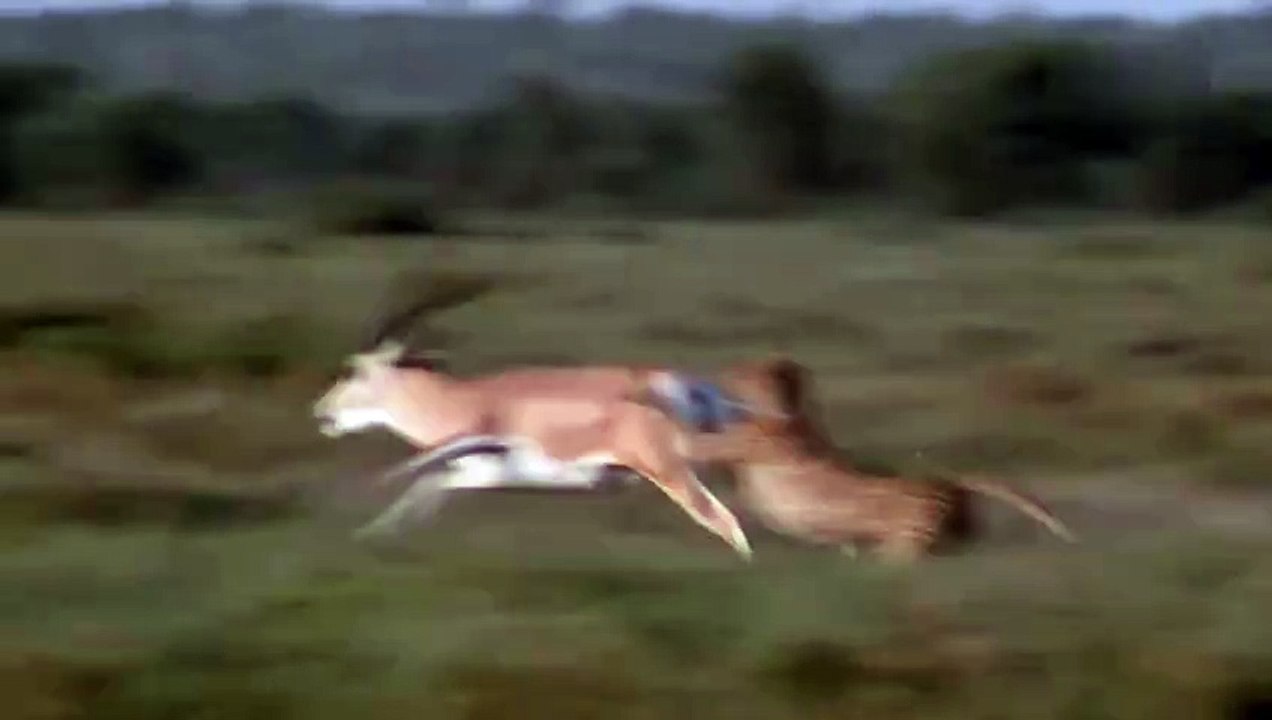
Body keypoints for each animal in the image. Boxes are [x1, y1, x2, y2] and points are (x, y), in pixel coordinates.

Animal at [312, 295, 756, 559]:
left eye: (356, 371)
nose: (322, 413)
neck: (467, 403)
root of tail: (675, 380)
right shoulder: (471, 472)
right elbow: (425, 489)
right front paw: (376, 539)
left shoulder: (485, 470)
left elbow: (424, 482)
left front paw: (367, 537)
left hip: (670, 471)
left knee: (723, 519)